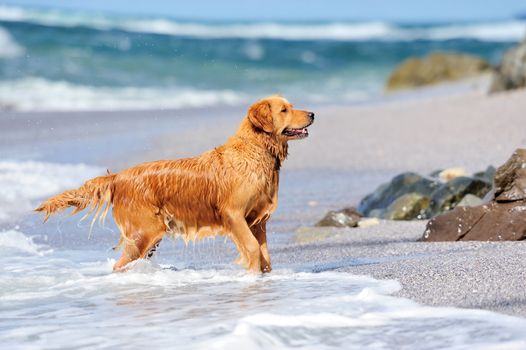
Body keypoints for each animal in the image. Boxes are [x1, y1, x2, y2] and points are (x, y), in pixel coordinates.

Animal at [36, 96, 314, 274]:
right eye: (284, 110)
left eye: (291, 107)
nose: (312, 114)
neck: (256, 150)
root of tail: (118, 176)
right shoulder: (234, 215)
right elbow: (254, 250)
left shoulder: (258, 221)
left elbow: (265, 256)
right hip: (145, 232)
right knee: (120, 265)